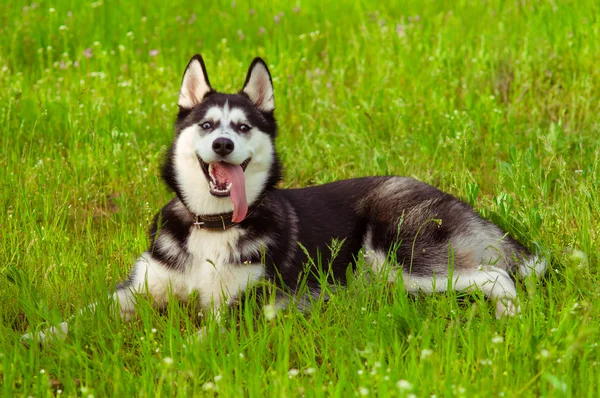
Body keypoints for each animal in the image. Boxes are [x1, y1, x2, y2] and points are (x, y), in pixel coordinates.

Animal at [25, 55, 548, 342]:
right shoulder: (135, 291)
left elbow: (198, 336)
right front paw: (35, 337)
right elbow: (83, 316)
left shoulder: (245, 307)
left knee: (498, 274)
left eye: (242, 127)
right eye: (207, 124)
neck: (214, 225)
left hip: (403, 258)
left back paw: (510, 315)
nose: (222, 145)